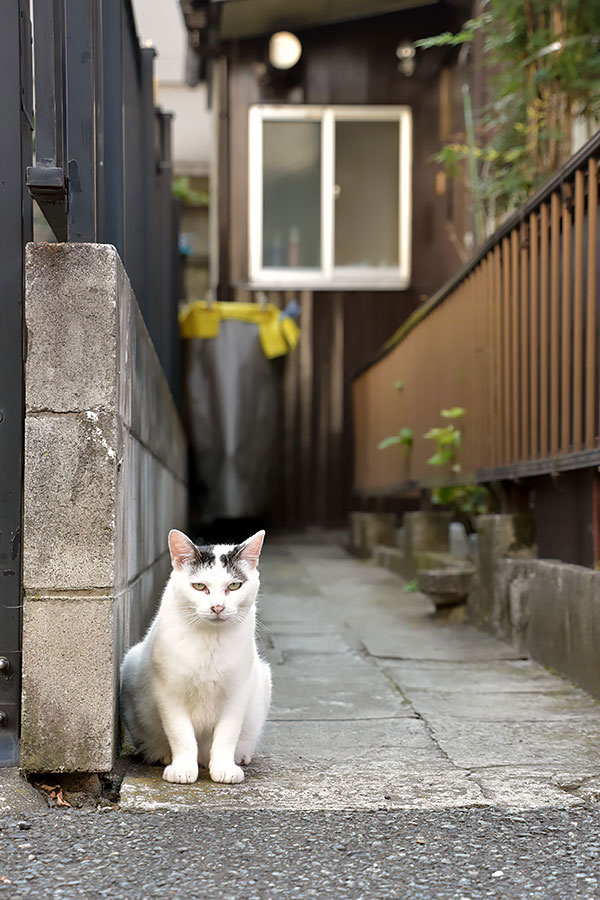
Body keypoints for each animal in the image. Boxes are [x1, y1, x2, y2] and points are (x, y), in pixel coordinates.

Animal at [120, 528, 270, 780]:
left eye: (234, 585)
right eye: (199, 586)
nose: (217, 607)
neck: (210, 640)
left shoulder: (237, 693)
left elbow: (227, 734)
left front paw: (224, 768)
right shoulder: (169, 694)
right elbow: (181, 735)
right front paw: (182, 769)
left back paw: (238, 756)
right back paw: (162, 755)